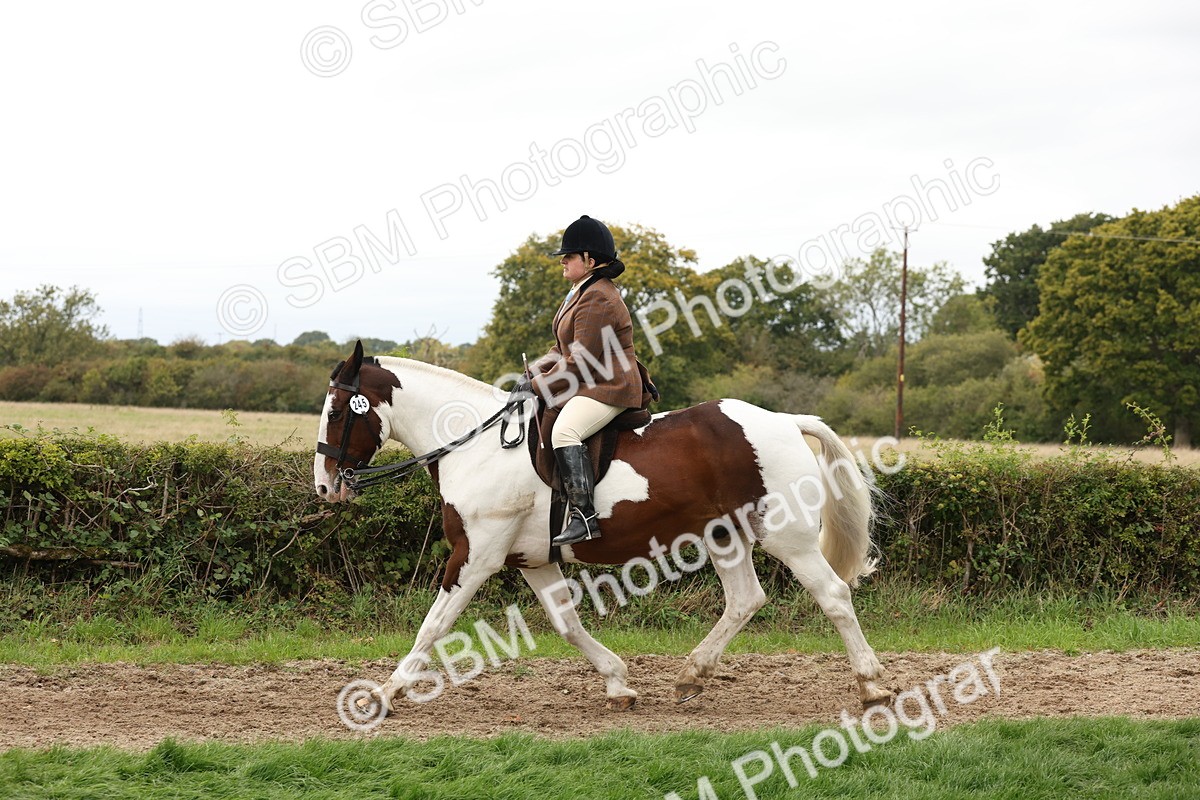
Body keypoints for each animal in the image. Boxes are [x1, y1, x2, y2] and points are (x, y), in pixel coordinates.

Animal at [313, 341, 894, 714]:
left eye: (338, 411)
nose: (324, 486)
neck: (474, 444)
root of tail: (785, 420)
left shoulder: (475, 556)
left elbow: (432, 626)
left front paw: (381, 696)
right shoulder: (533, 559)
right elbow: (567, 623)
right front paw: (618, 683)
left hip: (787, 538)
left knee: (833, 596)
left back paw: (873, 688)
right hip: (724, 536)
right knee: (745, 599)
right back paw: (690, 676)